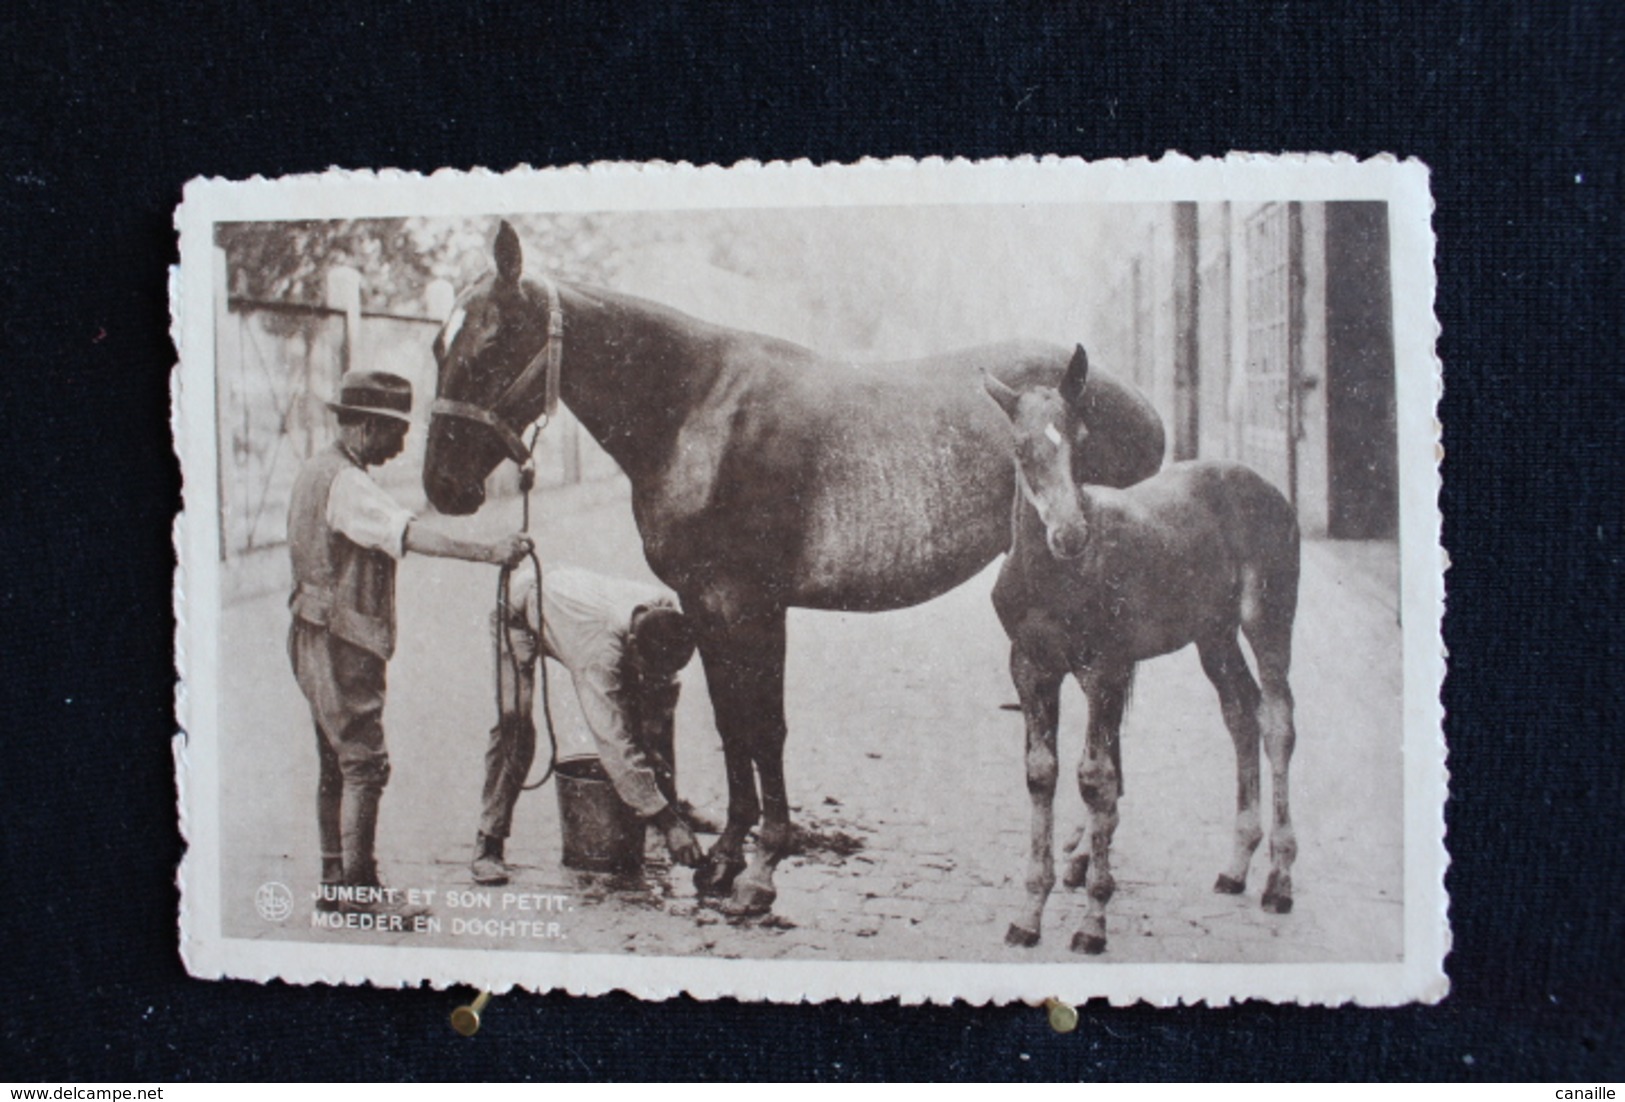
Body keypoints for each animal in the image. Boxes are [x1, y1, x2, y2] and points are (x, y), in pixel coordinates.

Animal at [429, 219, 1170, 916]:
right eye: (439, 346)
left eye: (492, 344)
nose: (442, 486)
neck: (696, 409)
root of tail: (1142, 406)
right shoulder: (705, 605)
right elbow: (733, 726)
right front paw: (725, 859)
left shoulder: (750, 604)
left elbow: (766, 728)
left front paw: (761, 871)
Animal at [981, 347, 1300, 955]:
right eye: (1020, 448)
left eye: (1081, 439)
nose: (1069, 535)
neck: (1053, 580)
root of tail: (1264, 485)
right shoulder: (1030, 668)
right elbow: (1041, 773)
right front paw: (1028, 916)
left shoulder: (1105, 669)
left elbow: (1096, 779)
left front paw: (1092, 921)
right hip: (1214, 634)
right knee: (1239, 713)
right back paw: (1236, 866)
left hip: (1267, 618)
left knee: (1276, 719)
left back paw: (1278, 880)